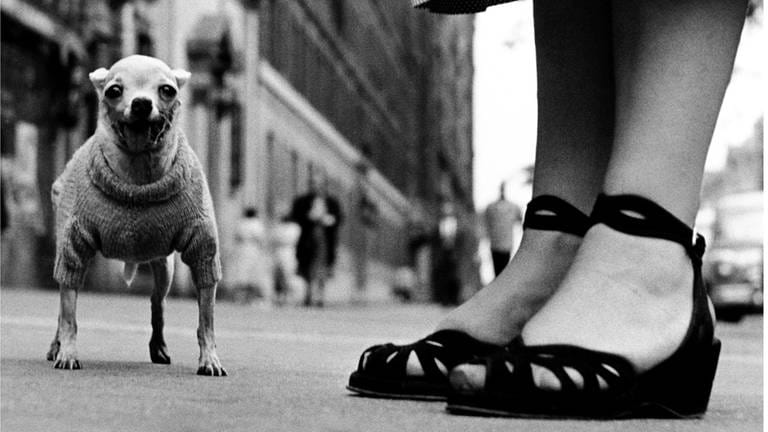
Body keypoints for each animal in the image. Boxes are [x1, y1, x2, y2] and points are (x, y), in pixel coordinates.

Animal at [48, 55, 226, 376]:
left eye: (167, 90)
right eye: (114, 91)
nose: (142, 103)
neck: (138, 172)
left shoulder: (203, 251)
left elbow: (206, 320)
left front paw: (210, 358)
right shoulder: (72, 250)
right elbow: (69, 314)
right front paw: (67, 351)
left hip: (164, 267)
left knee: (157, 303)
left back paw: (159, 346)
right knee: (62, 306)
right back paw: (56, 345)